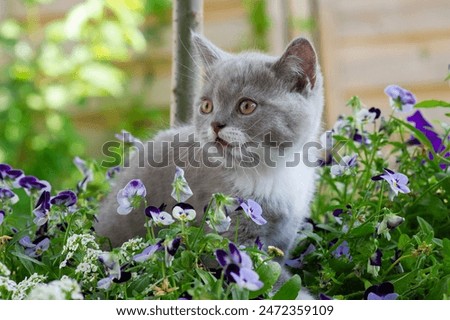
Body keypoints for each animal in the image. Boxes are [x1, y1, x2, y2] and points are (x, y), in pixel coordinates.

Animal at [96, 33, 324, 276]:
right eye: (206, 106)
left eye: (246, 106)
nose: (216, 124)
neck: (271, 170)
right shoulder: (231, 230)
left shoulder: (286, 231)